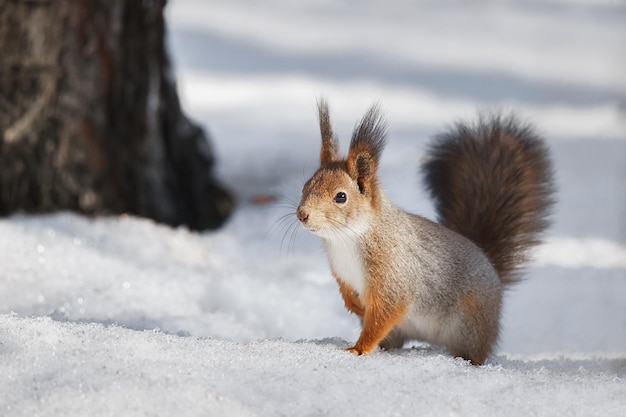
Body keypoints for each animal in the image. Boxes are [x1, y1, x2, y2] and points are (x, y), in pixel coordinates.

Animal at [294, 99, 552, 362]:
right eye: (305, 186)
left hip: (471, 324)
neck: (346, 239)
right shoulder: (341, 272)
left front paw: (358, 348)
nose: (302, 214)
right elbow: (347, 293)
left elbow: (383, 314)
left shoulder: (394, 275)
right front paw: (354, 306)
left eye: (341, 197)